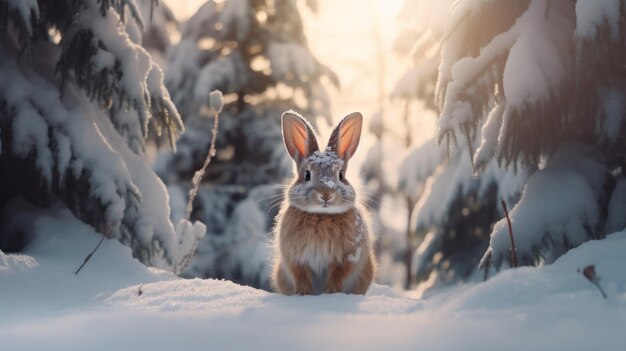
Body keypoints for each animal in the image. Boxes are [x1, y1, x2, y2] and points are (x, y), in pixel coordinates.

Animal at [270, 110, 372, 296]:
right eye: (307, 175)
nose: (326, 195)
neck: (321, 215)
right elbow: (301, 276)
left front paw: (331, 294)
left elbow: (336, 276)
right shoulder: (296, 259)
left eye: (340, 175)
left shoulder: (344, 259)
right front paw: (302, 294)